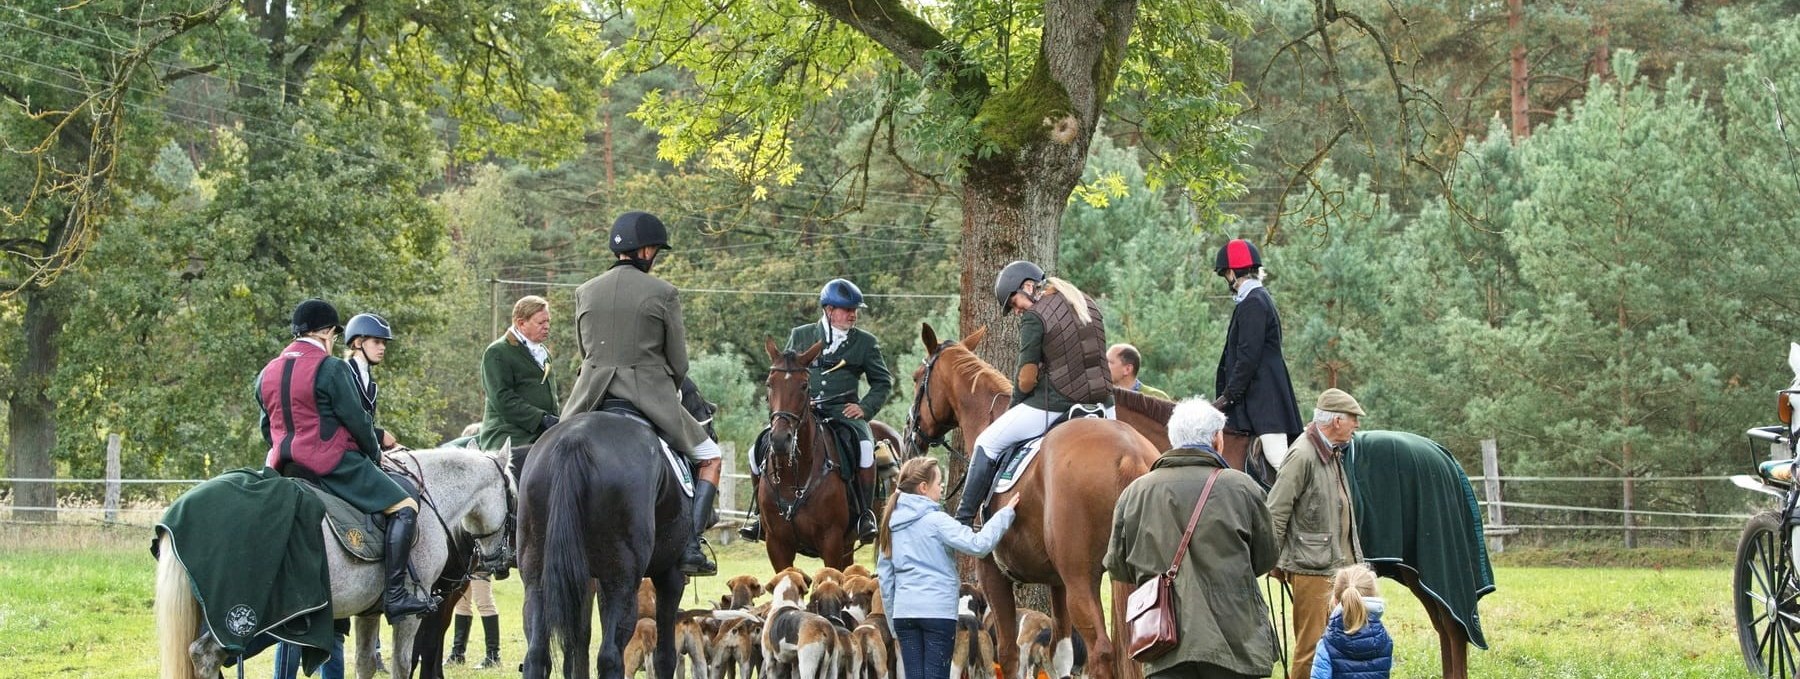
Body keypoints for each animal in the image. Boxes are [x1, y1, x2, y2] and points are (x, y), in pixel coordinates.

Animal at [153, 444, 514, 677]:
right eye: (513, 495)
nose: (500, 562)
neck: (430, 498)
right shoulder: (413, 613)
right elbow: (402, 664)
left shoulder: (368, 612)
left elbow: (365, 664)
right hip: (238, 619)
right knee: (205, 656)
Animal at [522, 410, 694, 677]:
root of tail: (574, 439)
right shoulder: (671, 575)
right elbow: (665, 656)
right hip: (622, 584)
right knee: (611, 656)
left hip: (537, 579)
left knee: (537, 654)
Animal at [759, 336, 856, 569]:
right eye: (769, 384)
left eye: (804, 385)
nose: (780, 440)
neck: (793, 477)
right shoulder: (776, 543)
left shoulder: (832, 541)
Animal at [907, 320, 1159, 677]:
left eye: (918, 377)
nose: (911, 434)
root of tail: (1129, 453)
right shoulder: (1057, 583)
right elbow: (1061, 653)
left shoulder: (993, 574)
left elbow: (1009, 653)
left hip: (1082, 579)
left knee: (1102, 651)